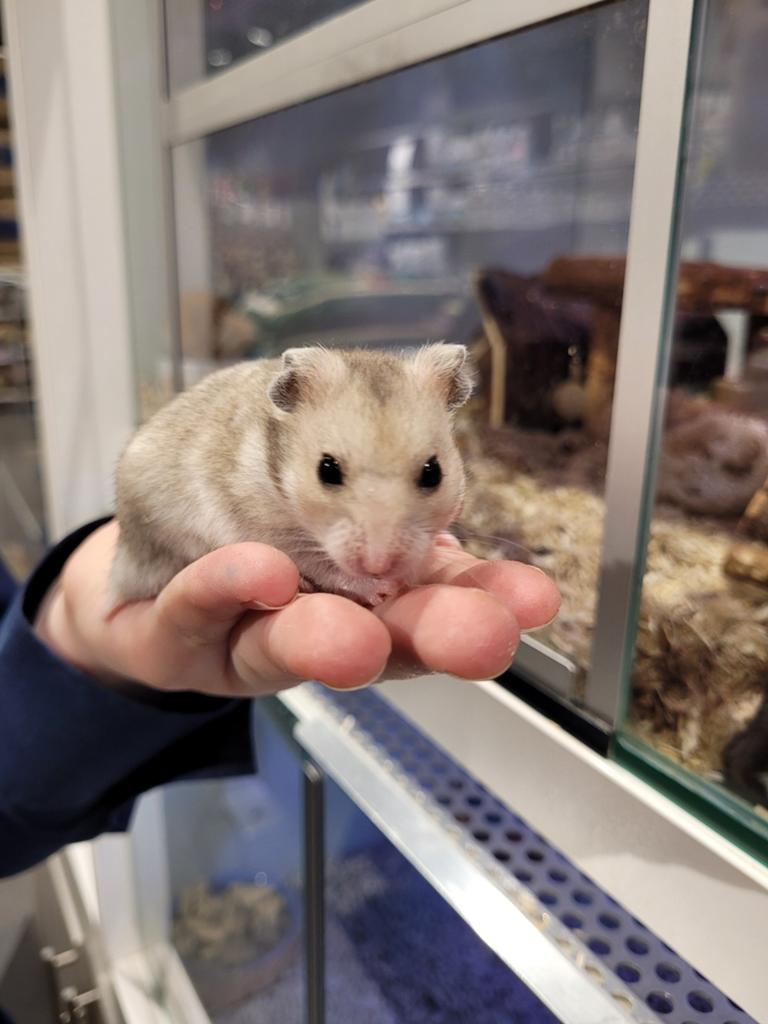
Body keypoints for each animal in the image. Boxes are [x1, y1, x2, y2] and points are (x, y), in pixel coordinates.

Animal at [110, 344, 474, 608]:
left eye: (433, 472)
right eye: (327, 469)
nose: (378, 564)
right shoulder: (273, 534)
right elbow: (323, 566)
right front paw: (383, 588)